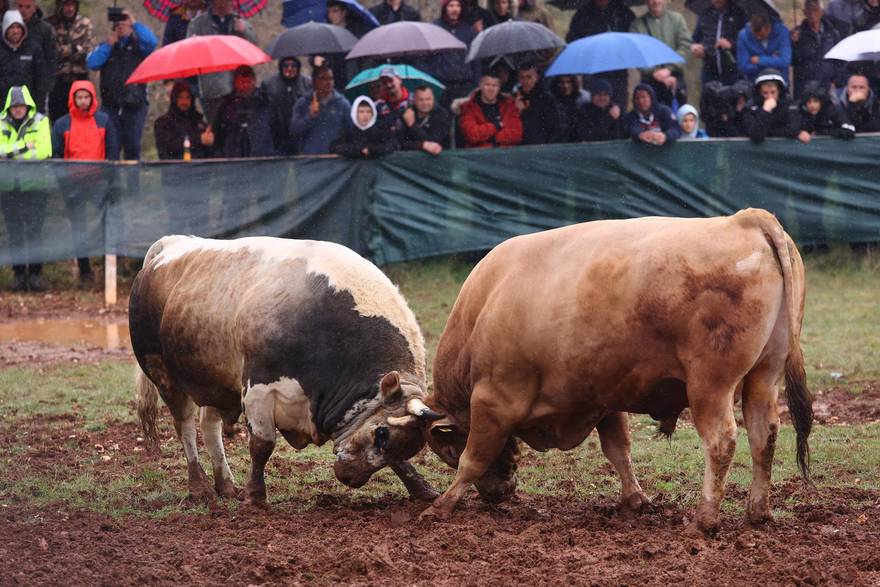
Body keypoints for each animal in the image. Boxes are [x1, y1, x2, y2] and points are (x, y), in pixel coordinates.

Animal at [130, 234, 440, 506]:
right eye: (381, 433)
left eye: (393, 440)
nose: (352, 478)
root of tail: (168, 247)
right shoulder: (258, 388)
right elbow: (262, 445)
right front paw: (255, 497)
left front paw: (422, 489)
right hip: (162, 372)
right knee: (185, 426)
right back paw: (199, 487)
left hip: (217, 382)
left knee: (209, 427)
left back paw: (225, 484)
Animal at [420, 208, 812, 532]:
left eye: (446, 451)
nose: (497, 495)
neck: (485, 304)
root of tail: (744, 220)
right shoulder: (604, 400)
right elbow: (618, 450)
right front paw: (635, 499)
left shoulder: (493, 400)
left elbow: (475, 458)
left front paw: (441, 506)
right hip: (765, 375)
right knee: (764, 434)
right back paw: (757, 512)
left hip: (710, 385)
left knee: (721, 442)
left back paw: (704, 520)